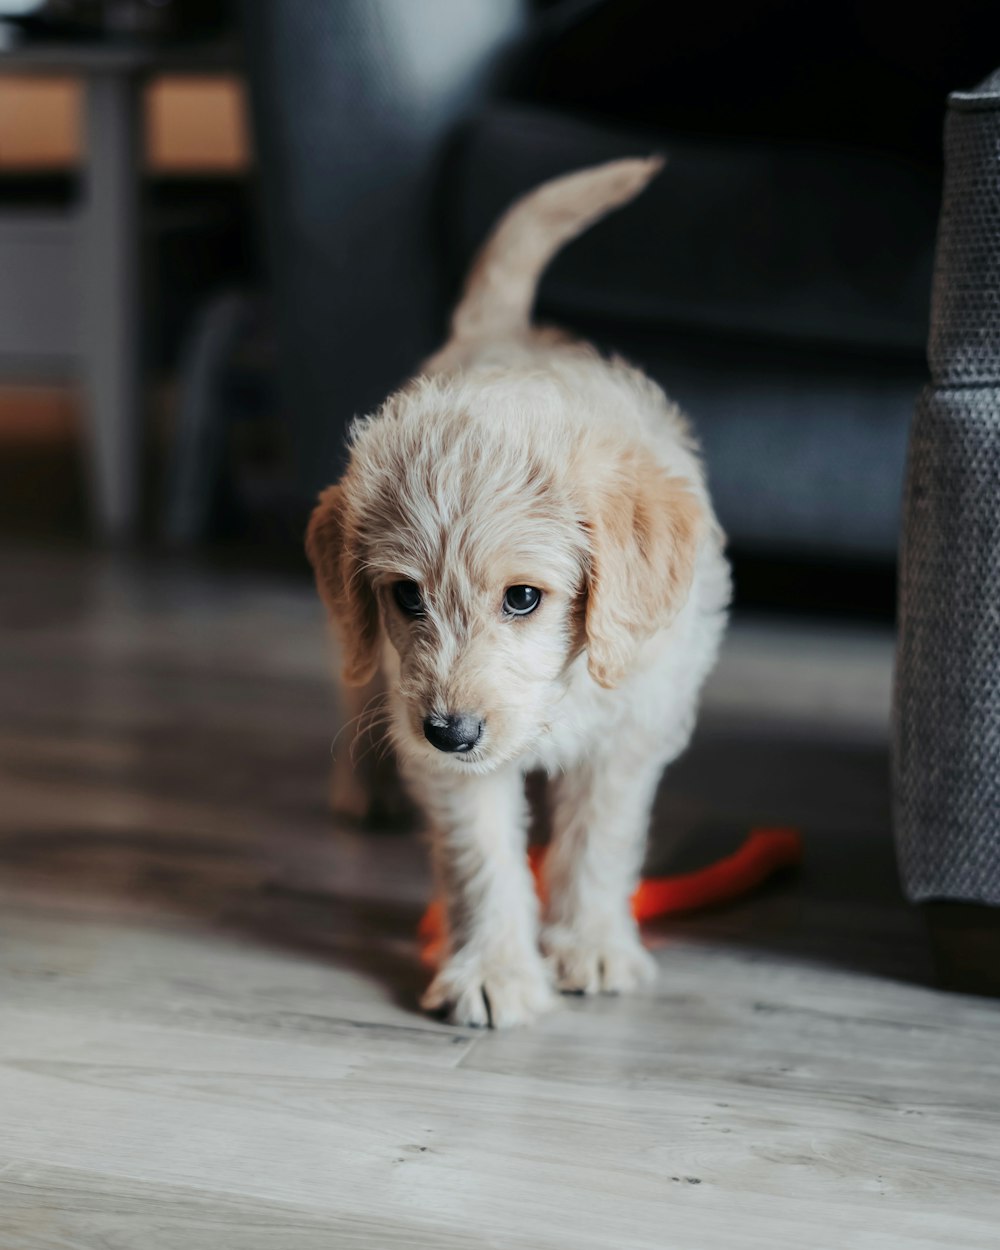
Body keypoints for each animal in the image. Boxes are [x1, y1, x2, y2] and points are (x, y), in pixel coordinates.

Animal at [308, 161, 730, 1030]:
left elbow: (599, 839)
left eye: (525, 598)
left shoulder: (633, 727)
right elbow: (482, 857)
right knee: (356, 683)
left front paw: (591, 944)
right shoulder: (443, 753)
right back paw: (362, 790)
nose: (451, 731)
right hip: (369, 664)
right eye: (406, 597)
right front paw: (494, 969)